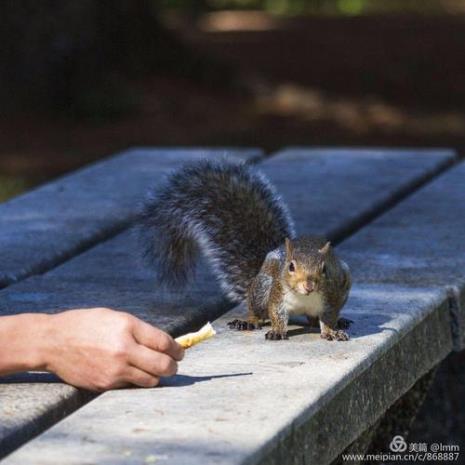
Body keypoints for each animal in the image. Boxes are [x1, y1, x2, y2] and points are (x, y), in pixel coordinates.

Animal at [138, 160, 352, 340]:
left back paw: (337, 321)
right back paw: (249, 322)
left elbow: (328, 317)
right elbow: (276, 313)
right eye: (291, 267)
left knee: (314, 319)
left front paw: (331, 331)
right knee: (258, 310)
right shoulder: (277, 294)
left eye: (324, 269)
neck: (305, 298)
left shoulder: (332, 297)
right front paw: (277, 331)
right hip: (262, 287)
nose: (309, 285)